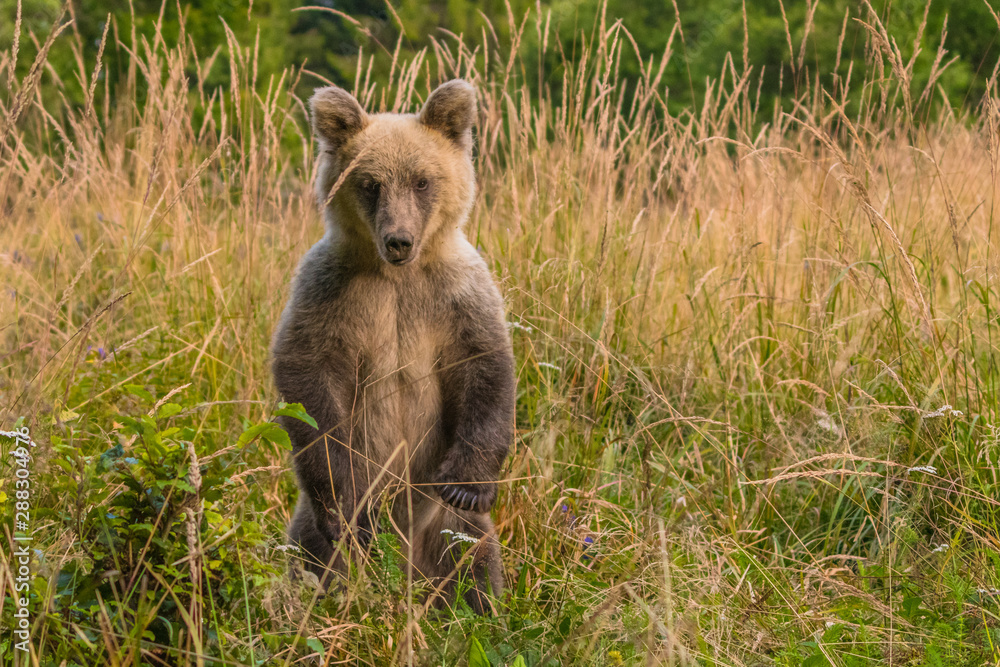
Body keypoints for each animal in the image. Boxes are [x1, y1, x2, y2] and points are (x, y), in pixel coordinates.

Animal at [270, 79, 515, 614]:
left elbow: (485, 368)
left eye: (422, 181)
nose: (398, 239)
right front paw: (347, 508)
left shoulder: (456, 296)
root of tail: (405, 572)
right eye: (371, 184)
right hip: (311, 533)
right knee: (314, 558)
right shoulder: (332, 294)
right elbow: (309, 384)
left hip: (444, 529)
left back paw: (481, 608)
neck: (398, 276)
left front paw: (468, 486)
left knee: (473, 559)